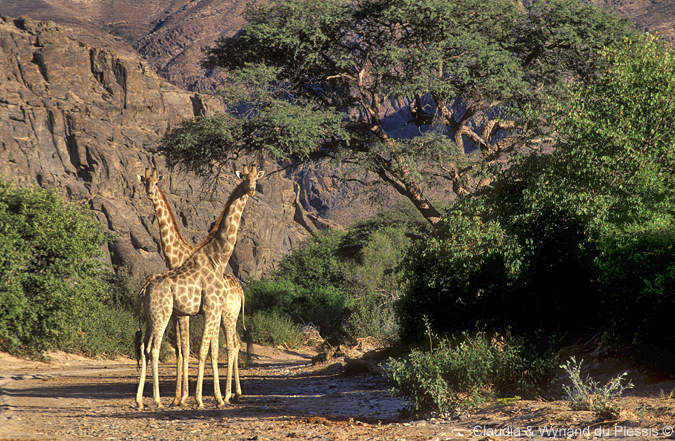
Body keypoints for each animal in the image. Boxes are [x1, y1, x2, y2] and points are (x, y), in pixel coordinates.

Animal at [135, 165, 264, 410]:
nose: (252, 190)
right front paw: (197, 399)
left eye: (256, 178)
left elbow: (203, 351)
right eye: (244, 179)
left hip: (156, 317)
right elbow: (199, 351)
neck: (217, 258)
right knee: (154, 349)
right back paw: (157, 400)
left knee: (145, 348)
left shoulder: (204, 312)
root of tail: (145, 289)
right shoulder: (206, 310)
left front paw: (206, 397)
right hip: (163, 315)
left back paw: (141, 400)